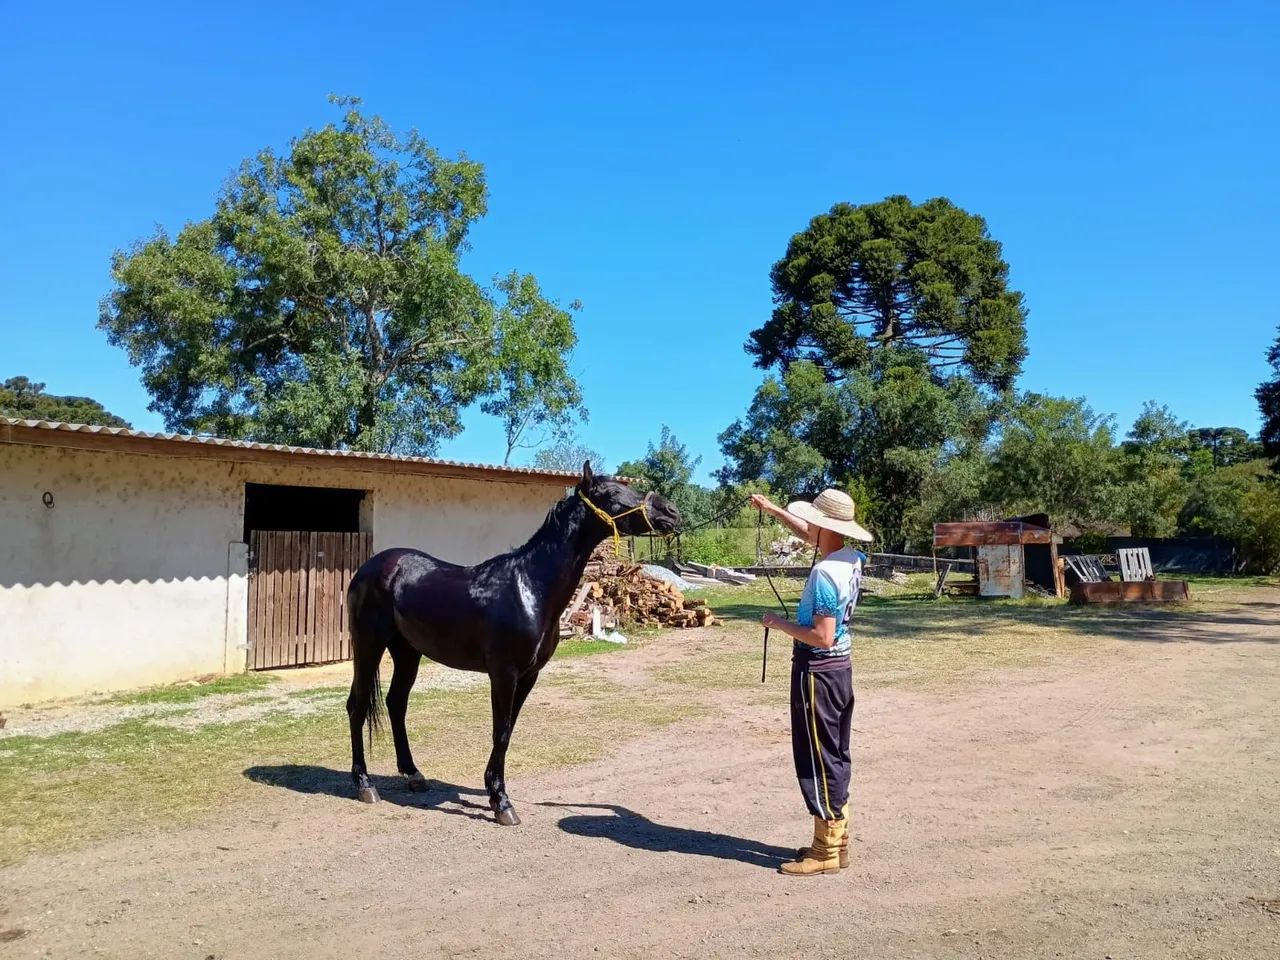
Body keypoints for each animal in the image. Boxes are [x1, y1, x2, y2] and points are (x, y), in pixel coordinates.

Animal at [344, 461, 681, 825]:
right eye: (614, 493)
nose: (671, 512)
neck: (530, 587)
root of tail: (370, 567)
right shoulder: (503, 674)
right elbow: (500, 732)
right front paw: (502, 803)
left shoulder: (529, 675)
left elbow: (509, 732)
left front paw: (494, 792)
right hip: (368, 645)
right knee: (357, 705)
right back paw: (364, 785)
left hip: (407, 652)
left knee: (396, 704)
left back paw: (413, 775)